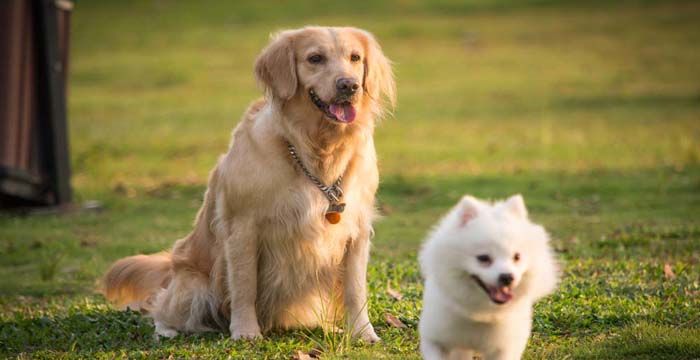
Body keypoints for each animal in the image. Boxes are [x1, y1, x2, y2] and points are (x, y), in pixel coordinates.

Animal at [418, 195, 560, 358]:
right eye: (483, 258)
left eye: (517, 257)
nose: (507, 277)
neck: (481, 312)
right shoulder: (435, 339)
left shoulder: (504, 348)